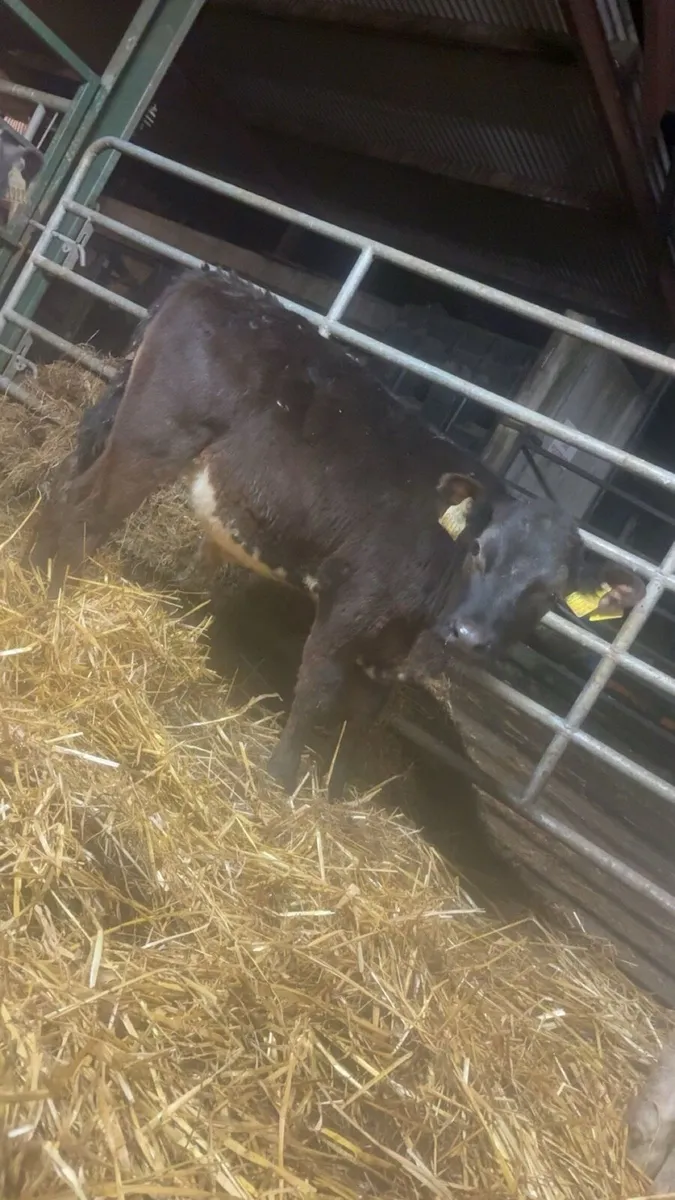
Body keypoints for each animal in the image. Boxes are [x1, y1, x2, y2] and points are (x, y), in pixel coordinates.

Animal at [28, 266, 645, 795]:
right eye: (478, 550)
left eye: (548, 592)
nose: (468, 635)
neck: (422, 622)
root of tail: (214, 280)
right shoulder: (350, 601)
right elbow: (318, 689)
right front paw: (281, 777)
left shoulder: (387, 655)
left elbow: (364, 717)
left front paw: (336, 790)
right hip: (153, 440)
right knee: (84, 512)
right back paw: (56, 606)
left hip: (117, 425)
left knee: (63, 483)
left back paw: (30, 568)